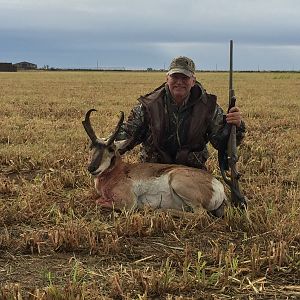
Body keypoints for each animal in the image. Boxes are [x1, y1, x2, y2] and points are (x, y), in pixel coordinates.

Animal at [82, 109, 225, 217]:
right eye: (91, 146)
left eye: (111, 149)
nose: (92, 167)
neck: (118, 172)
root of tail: (218, 185)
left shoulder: (129, 203)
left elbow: (98, 201)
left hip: (177, 181)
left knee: (201, 215)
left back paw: (159, 210)